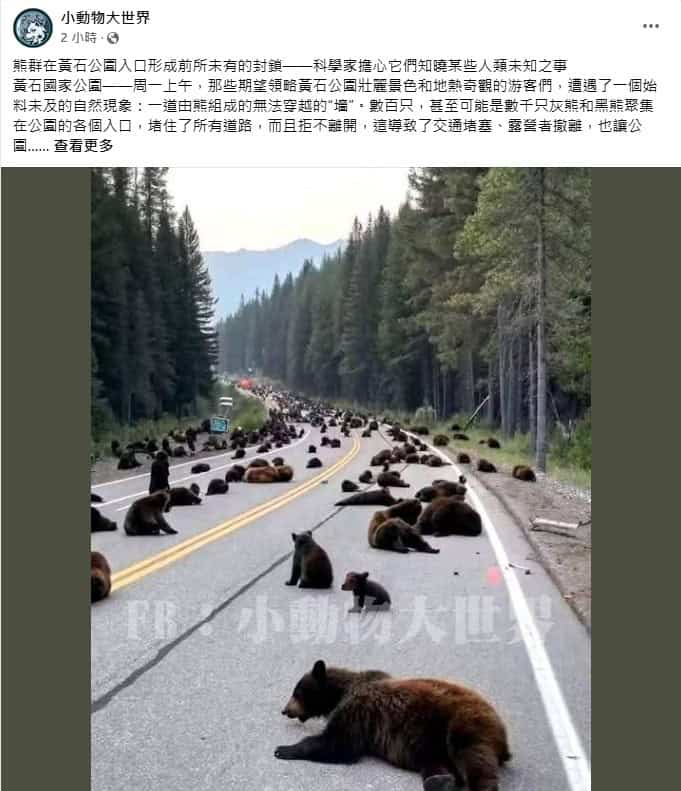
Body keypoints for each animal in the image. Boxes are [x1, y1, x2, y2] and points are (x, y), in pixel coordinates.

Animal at [275, 660, 511, 791]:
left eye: (296, 692)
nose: (285, 710)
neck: (341, 692)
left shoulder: (358, 709)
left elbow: (339, 744)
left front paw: (283, 749)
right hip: (431, 742)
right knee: (435, 762)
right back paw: (439, 781)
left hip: (464, 721)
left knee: (472, 754)